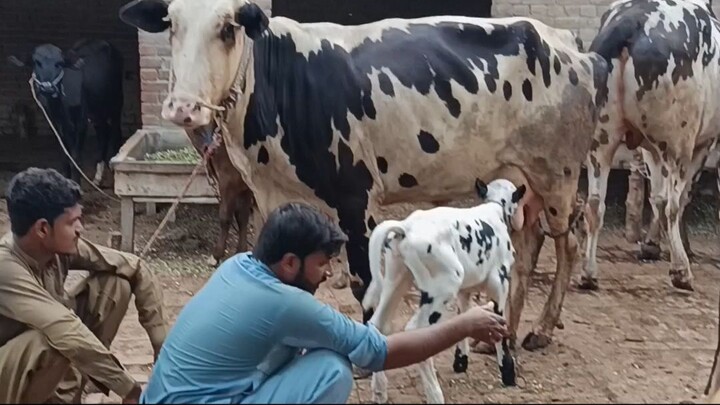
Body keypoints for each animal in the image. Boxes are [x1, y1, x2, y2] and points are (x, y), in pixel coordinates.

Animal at [8, 39, 125, 186]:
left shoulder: (80, 121)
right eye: (36, 62)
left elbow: (75, 156)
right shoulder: (55, 122)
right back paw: (98, 178)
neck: (59, 105)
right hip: (96, 112)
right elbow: (64, 155)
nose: (47, 88)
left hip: (116, 104)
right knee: (103, 134)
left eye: (60, 63)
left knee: (115, 134)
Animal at [118, 0, 609, 350]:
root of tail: (566, 41)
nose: (183, 108)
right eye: (171, 25)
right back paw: (502, 334)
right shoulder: (272, 196)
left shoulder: (355, 198)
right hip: (520, 177)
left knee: (566, 241)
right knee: (526, 248)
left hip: (559, 175)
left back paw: (541, 328)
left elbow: (362, 284)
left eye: (228, 28)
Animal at [363, 178, 523, 403]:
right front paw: (508, 372)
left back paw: (379, 391)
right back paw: (435, 395)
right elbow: (500, 323)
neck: (494, 209)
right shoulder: (499, 283)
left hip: (396, 281)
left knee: (377, 324)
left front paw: (461, 361)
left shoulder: (465, 290)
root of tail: (405, 227)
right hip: (442, 288)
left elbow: (464, 316)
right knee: (416, 332)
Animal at [579, 0, 720, 292]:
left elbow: (657, 197)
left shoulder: (650, 149)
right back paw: (681, 271)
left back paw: (588, 274)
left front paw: (652, 246)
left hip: (601, 141)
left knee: (595, 204)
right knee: (673, 205)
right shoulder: (703, 143)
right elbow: (678, 198)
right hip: (678, 142)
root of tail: (632, 22)